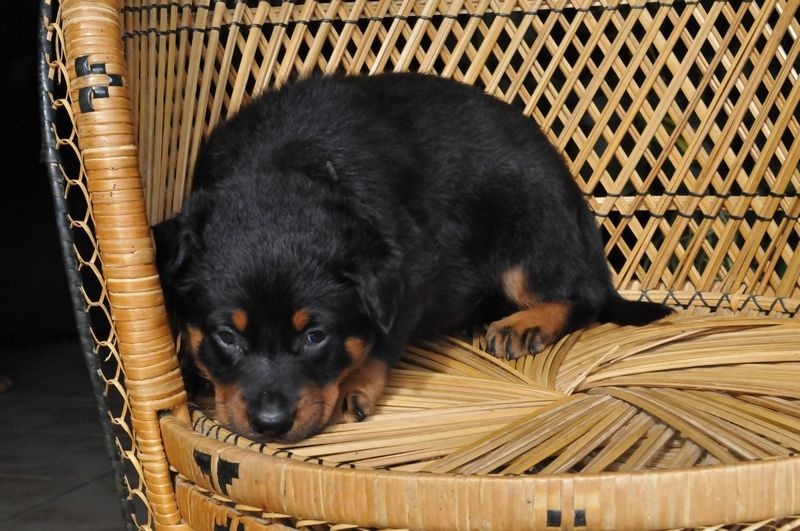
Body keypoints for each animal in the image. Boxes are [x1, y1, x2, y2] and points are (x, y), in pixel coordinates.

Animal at [153, 72, 672, 443]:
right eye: (226, 336)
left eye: (317, 336)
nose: (271, 424)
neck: (283, 167)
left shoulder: (413, 273)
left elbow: (382, 340)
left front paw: (356, 384)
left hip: (529, 221)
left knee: (582, 295)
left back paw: (524, 325)